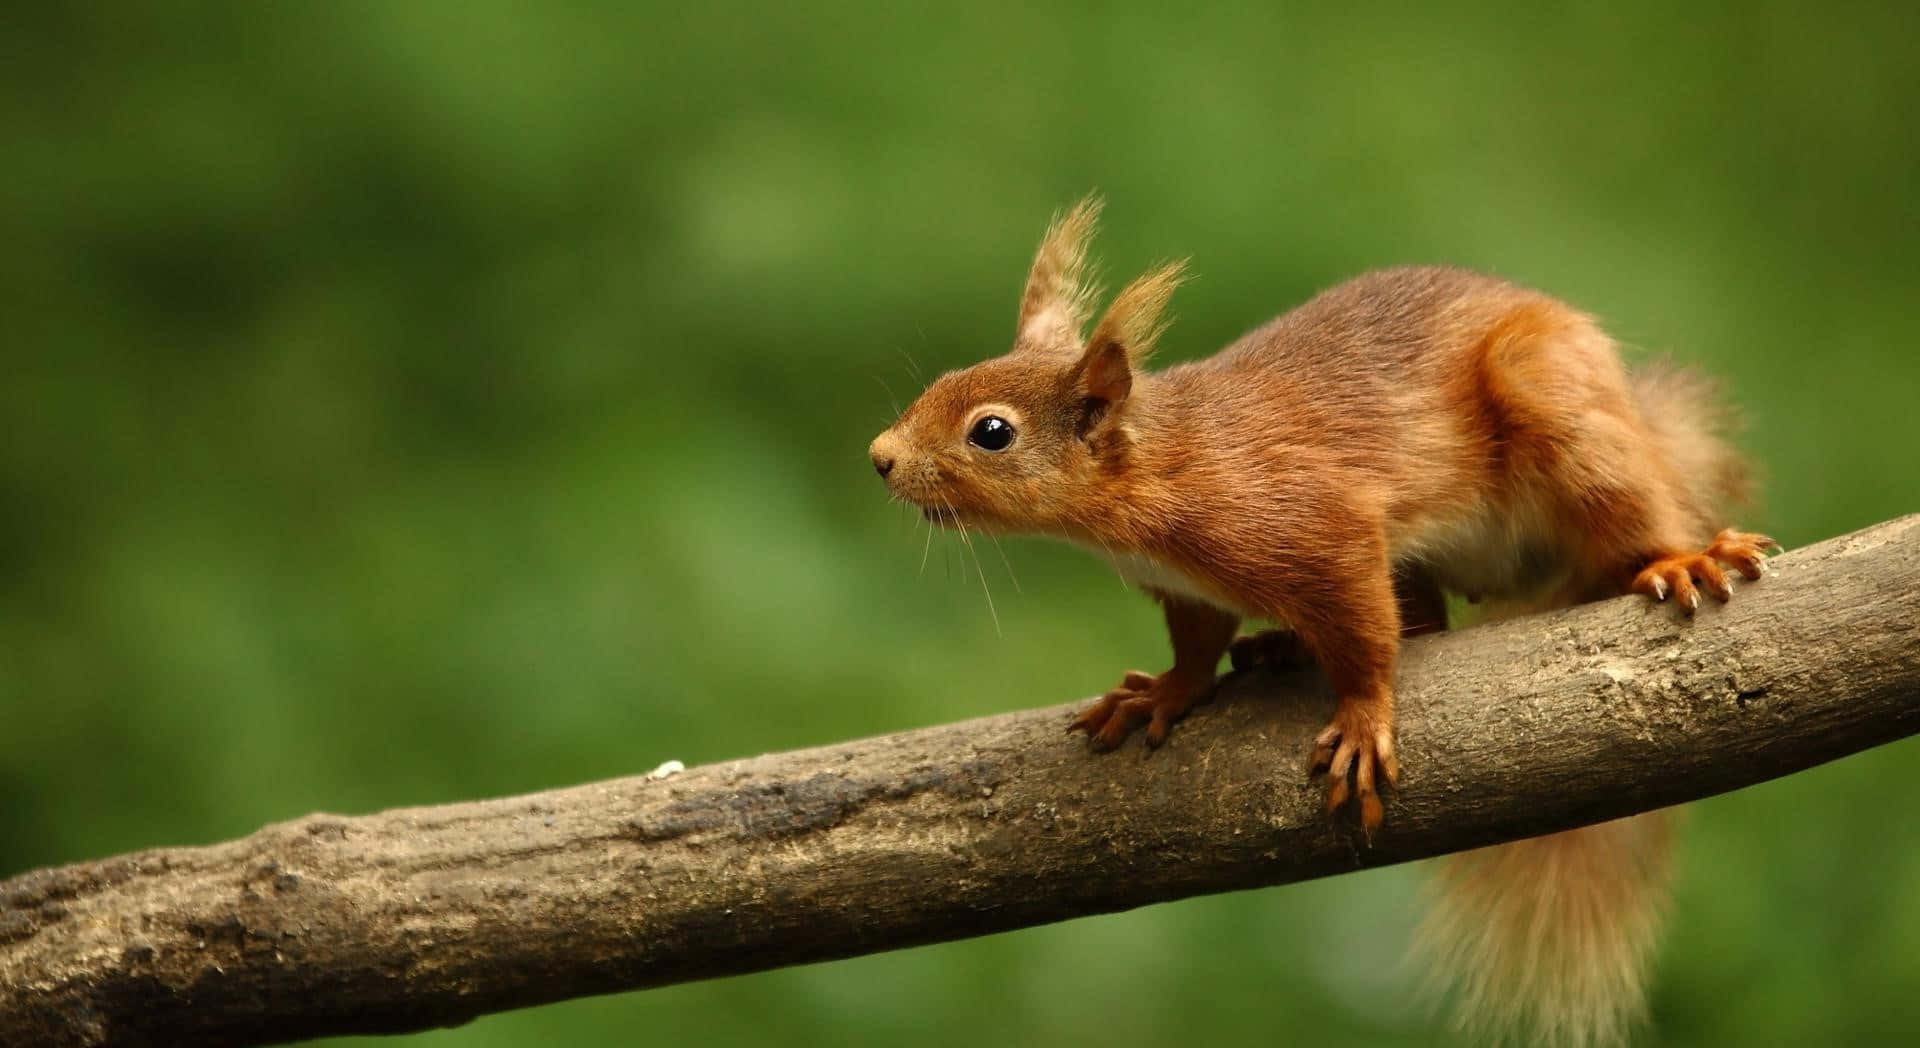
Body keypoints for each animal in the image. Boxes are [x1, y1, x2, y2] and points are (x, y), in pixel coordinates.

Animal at [867, 197, 1774, 1045]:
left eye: (992, 432)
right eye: (944, 379)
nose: (880, 457)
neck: (1160, 470)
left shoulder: (1318, 530)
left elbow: (1364, 634)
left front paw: (1364, 721)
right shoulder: (1187, 589)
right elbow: (1197, 647)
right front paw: (1164, 693)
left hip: (1554, 402)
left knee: (1620, 512)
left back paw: (1676, 558)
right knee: (1429, 621)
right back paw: (1279, 648)